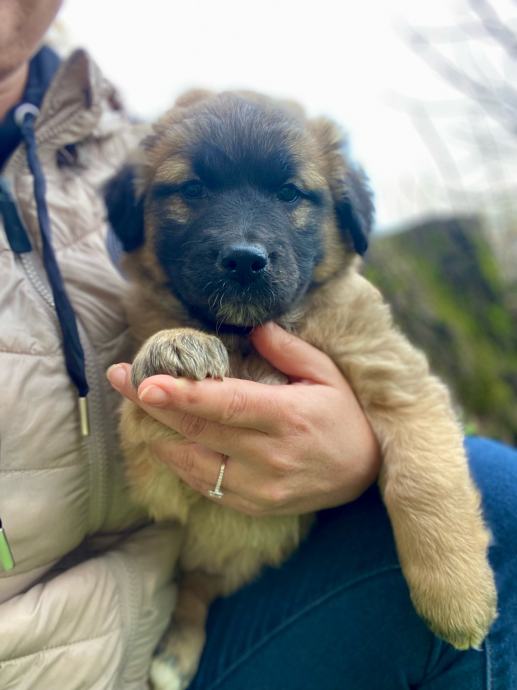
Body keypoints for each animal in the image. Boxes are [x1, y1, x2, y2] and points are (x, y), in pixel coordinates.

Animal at [104, 89, 497, 690]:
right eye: (193, 189)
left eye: (289, 193)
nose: (245, 260)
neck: (244, 337)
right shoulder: (158, 486)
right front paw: (173, 345)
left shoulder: (399, 380)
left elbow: (424, 482)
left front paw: (458, 598)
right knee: (196, 589)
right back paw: (175, 654)